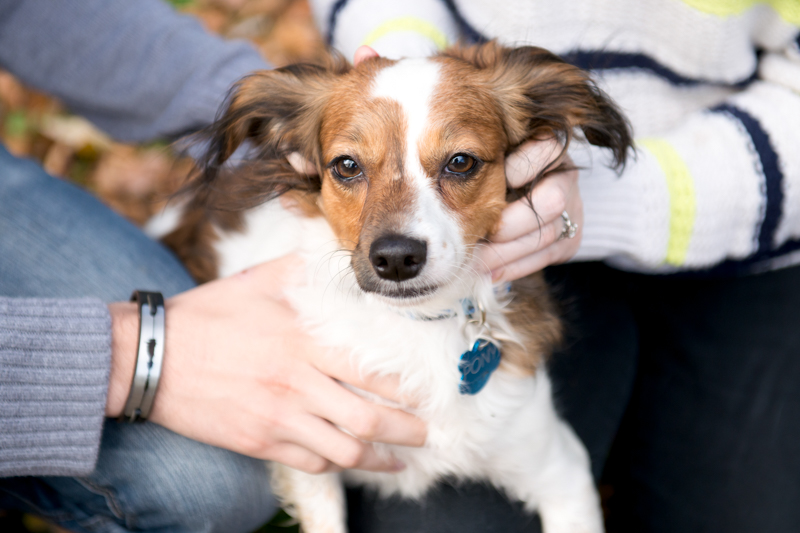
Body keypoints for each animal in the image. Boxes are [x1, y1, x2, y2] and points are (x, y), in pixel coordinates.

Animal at [155, 42, 632, 532]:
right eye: (347, 166)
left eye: (461, 162)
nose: (396, 258)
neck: (417, 326)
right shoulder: (310, 457)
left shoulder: (561, 469)